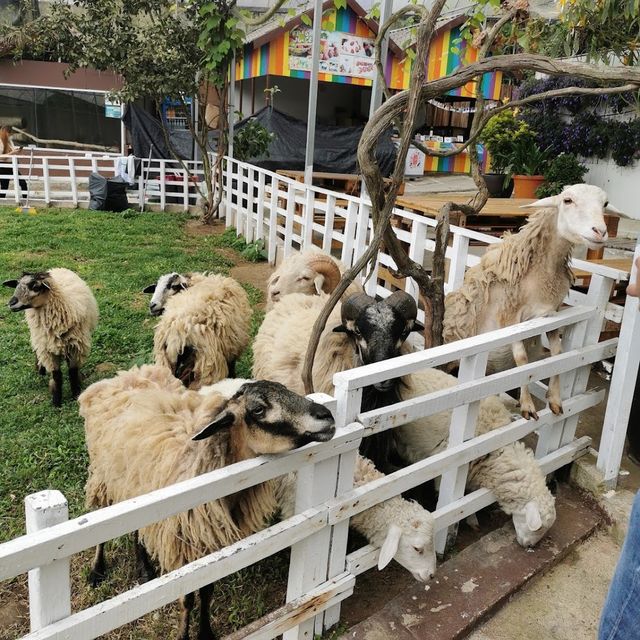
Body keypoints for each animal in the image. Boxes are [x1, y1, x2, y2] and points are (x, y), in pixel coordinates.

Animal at [3, 268, 98, 404]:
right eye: (16, 284)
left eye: (35, 287)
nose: (11, 303)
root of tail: (56, 268)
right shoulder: (47, 350)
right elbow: (57, 376)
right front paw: (56, 401)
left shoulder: (75, 347)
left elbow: (73, 372)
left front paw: (76, 394)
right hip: (38, 337)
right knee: (36, 352)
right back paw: (40, 370)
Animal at [79, 362, 336, 640]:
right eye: (258, 409)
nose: (326, 416)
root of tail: (124, 375)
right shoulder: (184, 546)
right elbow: (188, 598)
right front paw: (183, 635)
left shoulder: (211, 542)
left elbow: (207, 591)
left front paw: (205, 632)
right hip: (104, 477)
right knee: (101, 526)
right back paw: (97, 570)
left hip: (137, 488)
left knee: (138, 529)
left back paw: (145, 569)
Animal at [444, 184, 620, 420]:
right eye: (567, 200)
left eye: (605, 204)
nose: (600, 232)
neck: (540, 273)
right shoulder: (510, 317)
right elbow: (522, 360)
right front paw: (527, 405)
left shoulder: (550, 315)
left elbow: (557, 354)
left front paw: (554, 399)